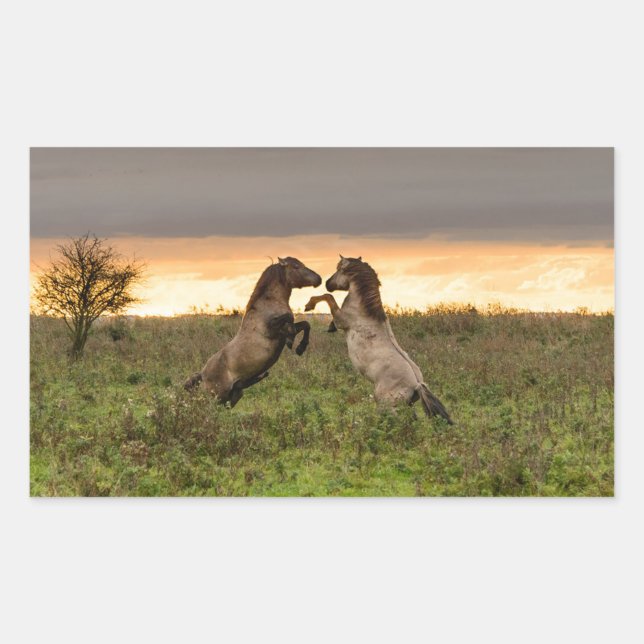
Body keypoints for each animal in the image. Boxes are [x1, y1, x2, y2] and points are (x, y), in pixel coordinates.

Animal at [184, 257, 321, 407]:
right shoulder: (272, 329)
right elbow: (290, 318)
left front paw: (300, 348)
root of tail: (202, 375)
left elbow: (305, 324)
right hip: (216, 397)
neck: (268, 304)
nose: (319, 279)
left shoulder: (284, 330)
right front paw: (292, 342)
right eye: (296, 266)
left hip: (233, 396)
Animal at [305, 255, 453, 423]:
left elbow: (328, 297)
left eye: (339, 269)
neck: (362, 309)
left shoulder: (341, 320)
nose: (328, 283)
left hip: (386, 404)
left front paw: (309, 305)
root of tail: (417, 384)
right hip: (406, 405)